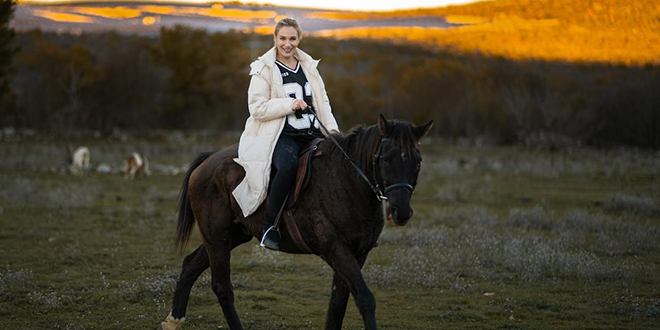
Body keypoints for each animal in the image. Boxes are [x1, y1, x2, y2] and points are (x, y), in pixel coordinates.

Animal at [161, 115, 434, 330]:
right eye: (386, 159)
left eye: (418, 161)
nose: (401, 211)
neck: (348, 181)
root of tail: (208, 161)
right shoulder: (336, 250)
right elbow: (365, 299)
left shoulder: (358, 254)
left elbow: (338, 304)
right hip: (217, 235)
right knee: (222, 287)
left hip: (232, 235)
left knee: (190, 265)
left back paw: (175, 319)